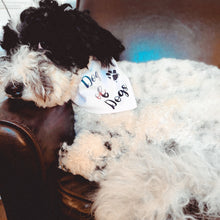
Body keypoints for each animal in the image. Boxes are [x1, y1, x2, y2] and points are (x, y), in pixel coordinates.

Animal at [0, 0, 220, 219]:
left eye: (42, 44)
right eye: (10, 49)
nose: (11, 88)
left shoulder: (124, 131)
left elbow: (83, 154)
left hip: (160, 112)